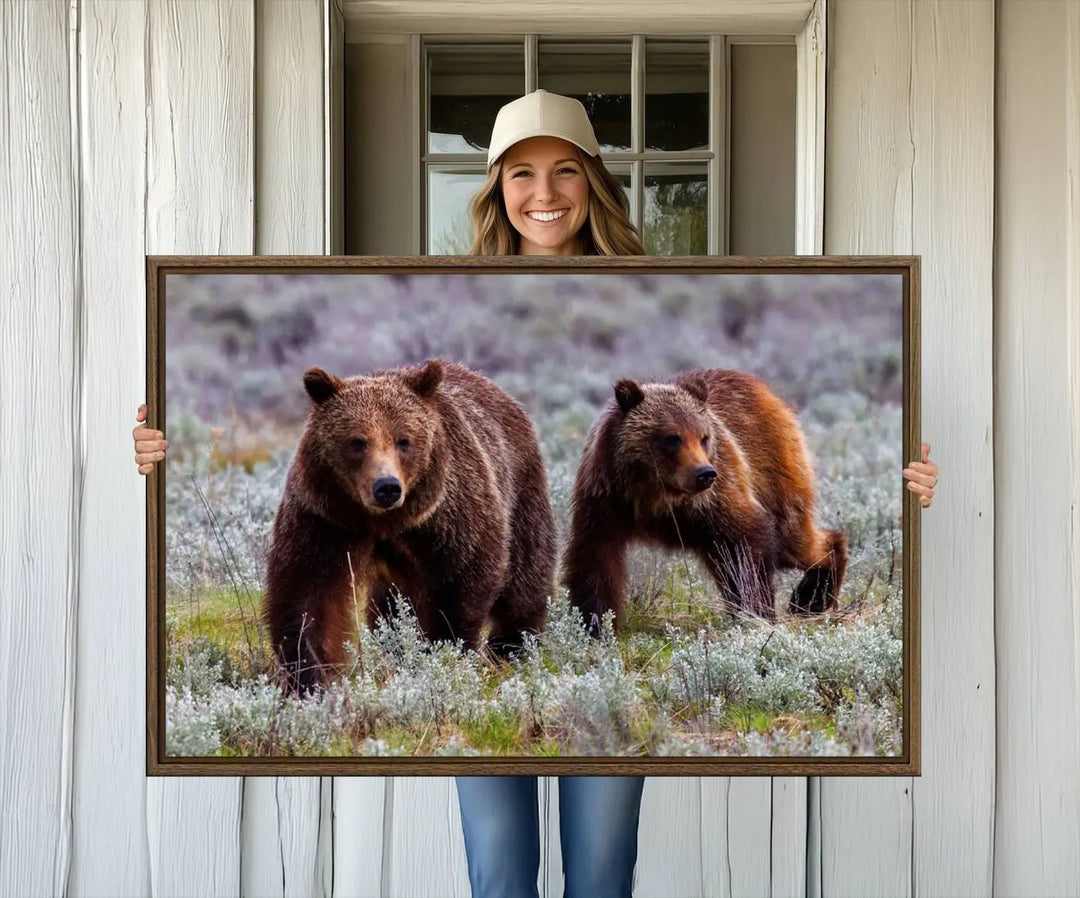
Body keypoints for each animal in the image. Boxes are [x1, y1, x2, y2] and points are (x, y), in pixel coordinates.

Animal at [261, 358, 557, 695]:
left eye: (403, 440)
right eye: (357, 442)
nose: (386, 487)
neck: (385, 523)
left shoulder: (448, 518)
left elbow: (461, 583)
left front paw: (443, 652)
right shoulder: (324, 518)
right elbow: (308, 595)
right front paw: (310, 677)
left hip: (521, 490)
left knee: (526, 576)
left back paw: (510, 647)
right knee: (388, 607)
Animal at [561, 369, 846, 635]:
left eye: (704, 436)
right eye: (672, 437)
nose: (705, 473)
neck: (656, 494)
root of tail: (763, 389)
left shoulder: (717, 498)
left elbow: (746, 546)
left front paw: (756, 613)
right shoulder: (605, 499)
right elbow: (596, 558)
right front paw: (595, 624)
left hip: (773, 467)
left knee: (793, 538)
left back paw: (812, 595)